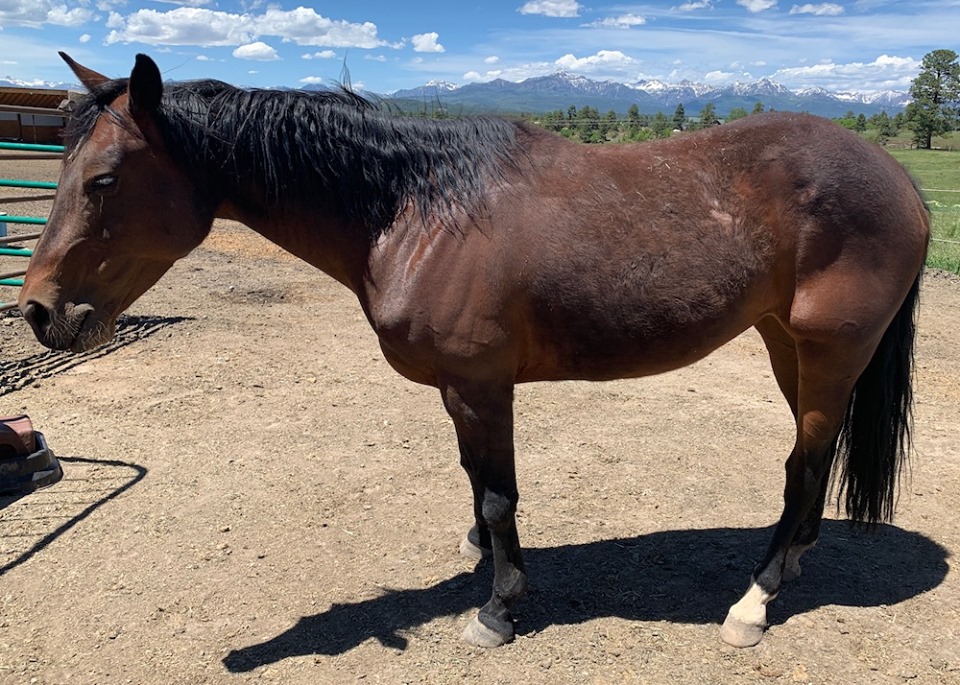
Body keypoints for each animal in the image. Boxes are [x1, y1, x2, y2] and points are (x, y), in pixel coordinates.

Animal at [16, 52, 928, 648]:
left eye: (104, 180)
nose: (36, 311)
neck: (414, 211)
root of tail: (898, 177)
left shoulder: (482, 385)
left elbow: (497, 494)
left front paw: (498, 607)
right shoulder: (460, 391)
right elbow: (474, 481)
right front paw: (483, 566)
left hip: (827, 351)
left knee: (804, 464)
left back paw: (753, 603)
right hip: (787, 345)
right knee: (814, 457)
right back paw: (793, 565)